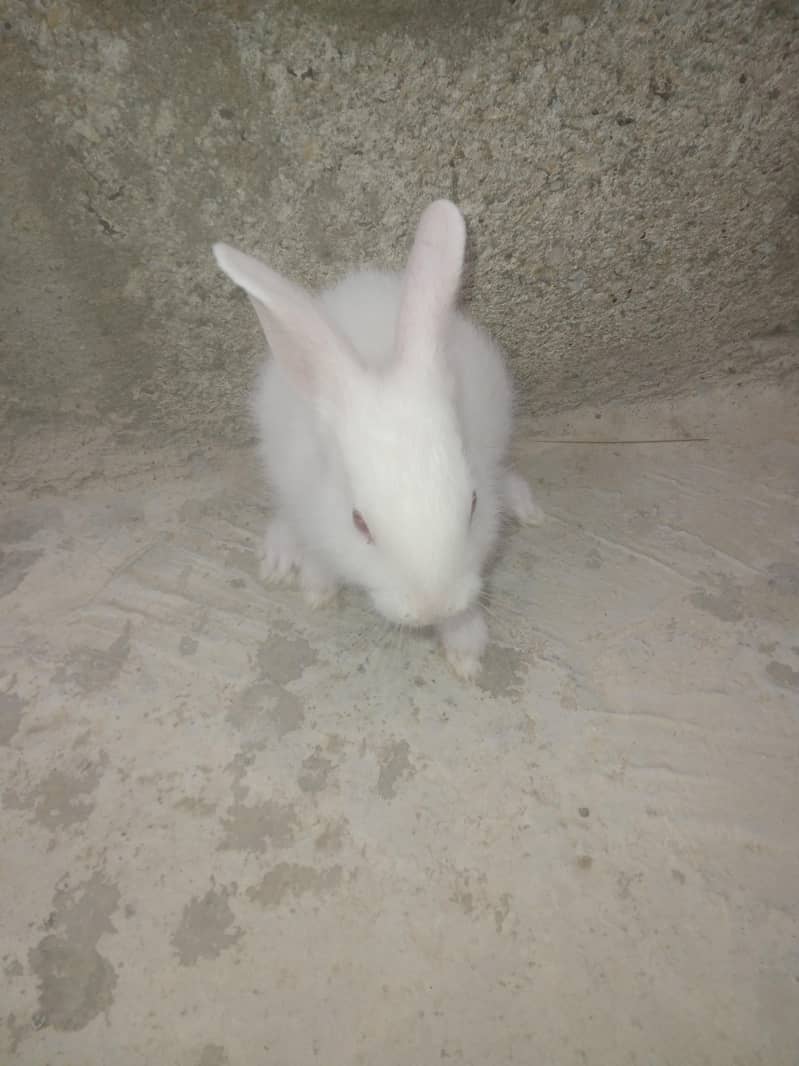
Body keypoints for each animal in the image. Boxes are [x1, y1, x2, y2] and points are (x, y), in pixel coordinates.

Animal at [213, 199, 542, 679]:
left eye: (473, 504)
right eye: (359, 523)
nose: (431, 606)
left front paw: (465, 651)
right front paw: (317, 590)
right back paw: (278, 556)